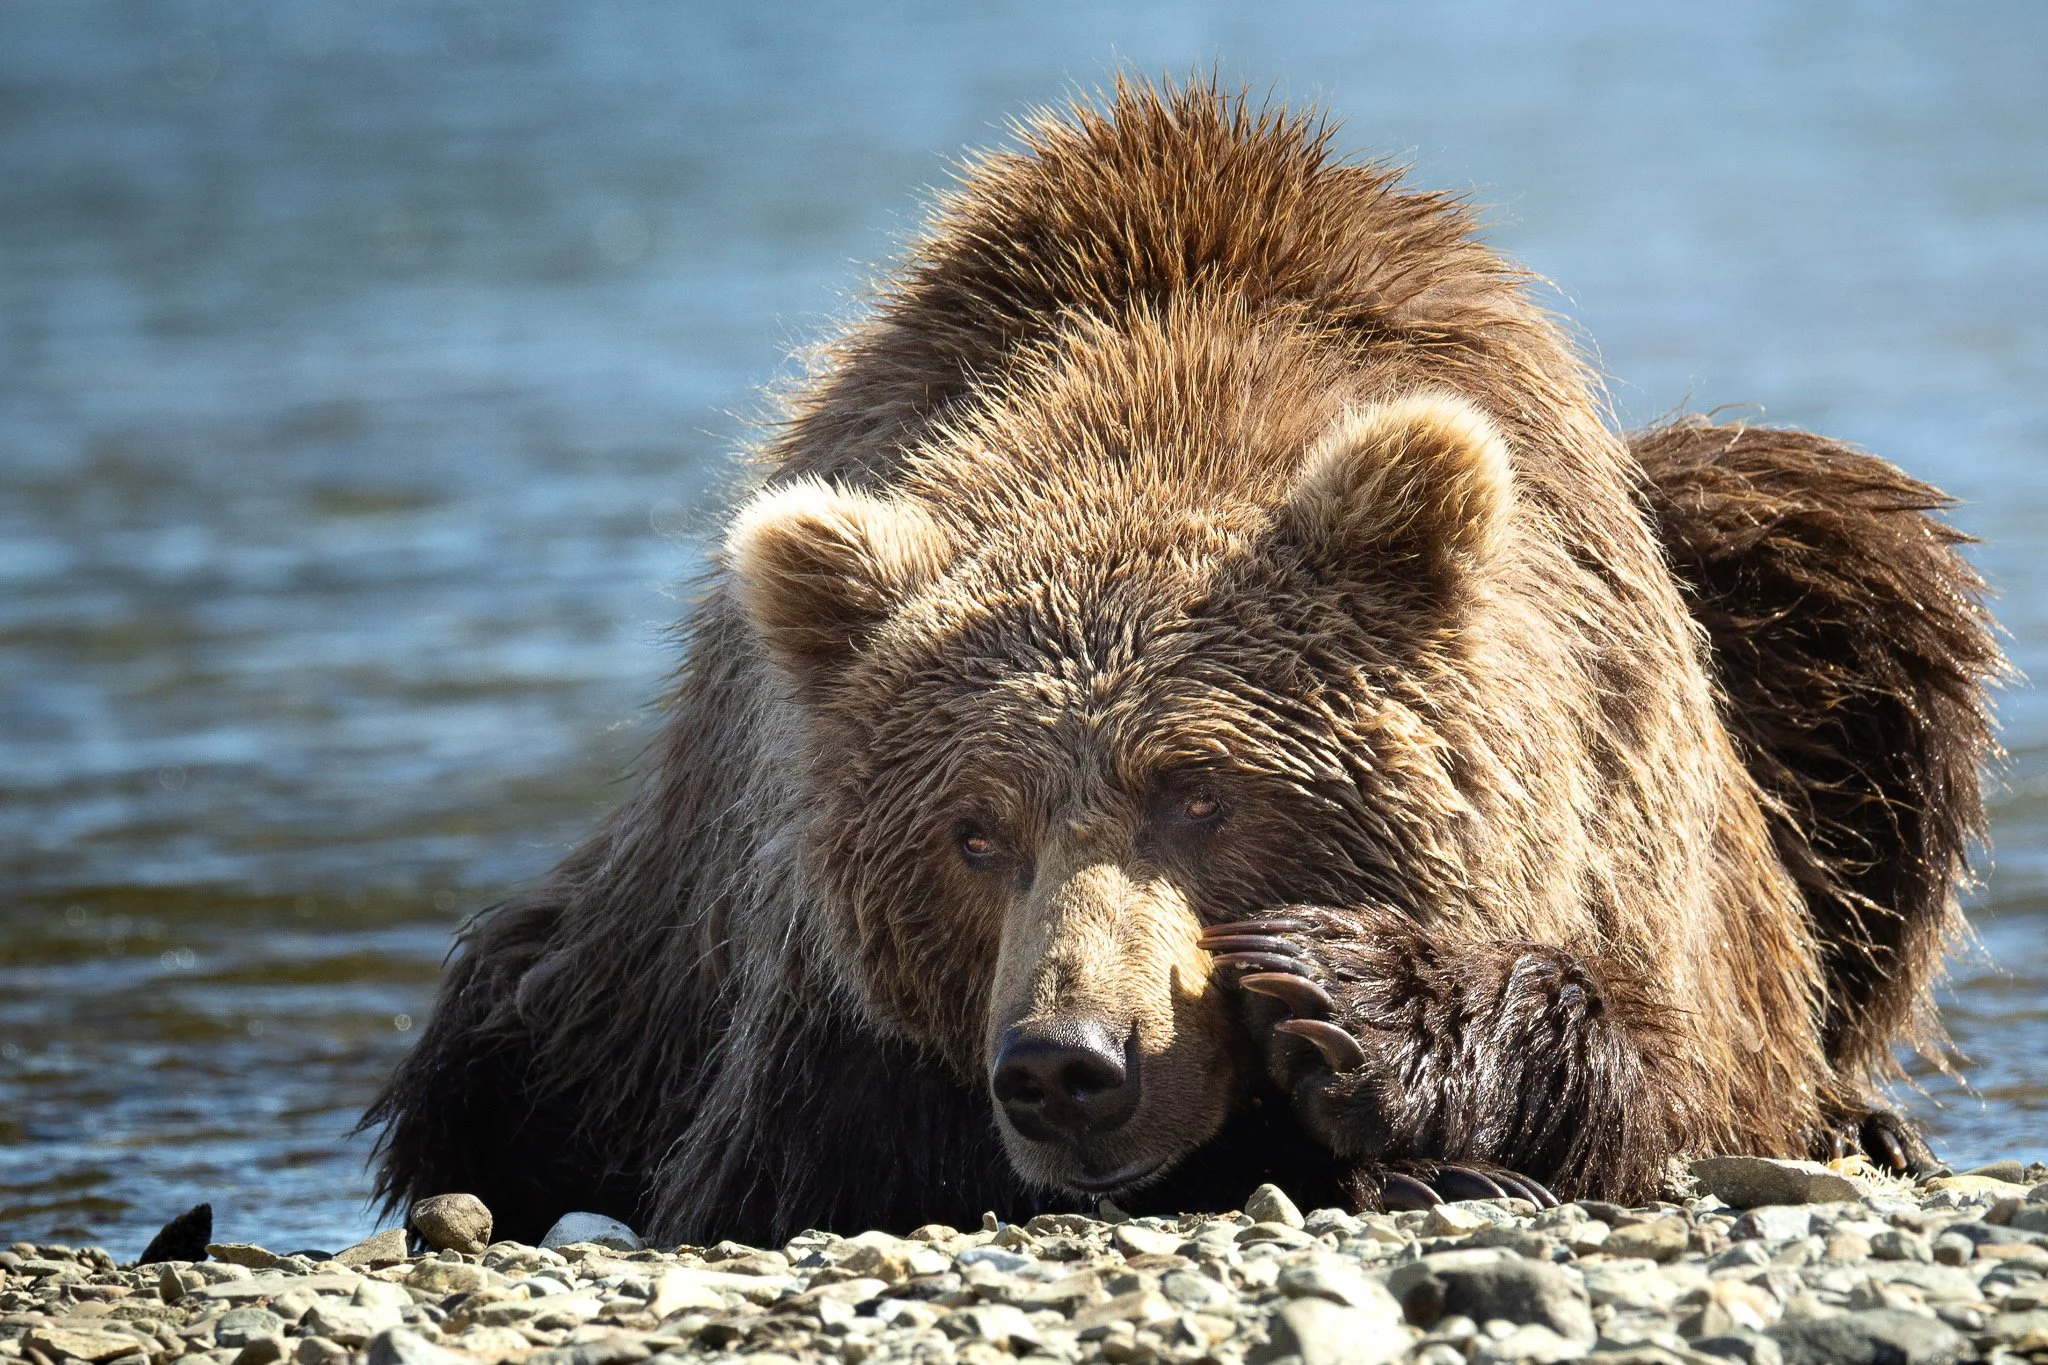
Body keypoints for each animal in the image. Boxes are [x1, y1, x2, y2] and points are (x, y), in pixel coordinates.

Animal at [365, 80, 2003, 1247]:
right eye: (974, 833)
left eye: (1202, 792)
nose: (1069, 1059)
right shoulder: (799, 997)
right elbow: (811, 1165)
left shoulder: (1630, 820)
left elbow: (1695, 1062)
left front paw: (1366, 1007)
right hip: (605, 974)